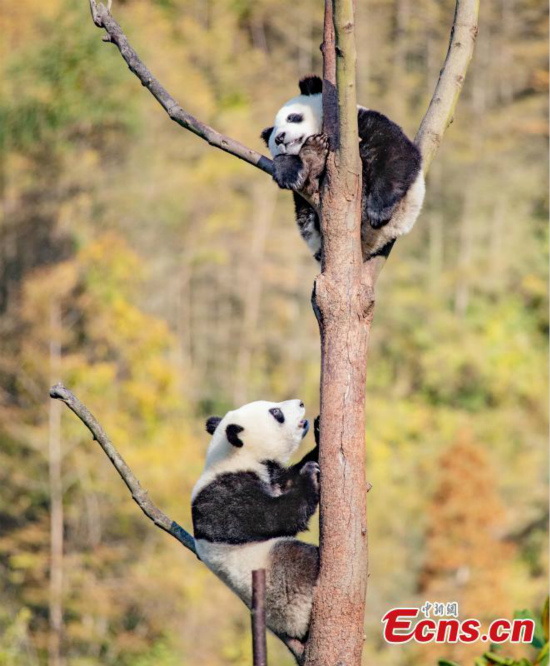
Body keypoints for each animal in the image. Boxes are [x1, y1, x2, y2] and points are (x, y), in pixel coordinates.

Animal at [192, 396, 322, 640]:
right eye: (276, 412)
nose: (301, 403)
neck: (235, 456)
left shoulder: (272, 474)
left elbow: (287, 480)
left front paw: (319, 429)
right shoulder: (226, 494)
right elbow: (274, 517)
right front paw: (310, 476)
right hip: (279, 583)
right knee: (302, 559)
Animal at [262, 72, 426, 260]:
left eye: (292, 117)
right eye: (273, 136)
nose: (279, 137)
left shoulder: (359, 122)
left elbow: (395, 152)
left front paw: (378, 211)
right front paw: (289, 172)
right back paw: (314, 158)